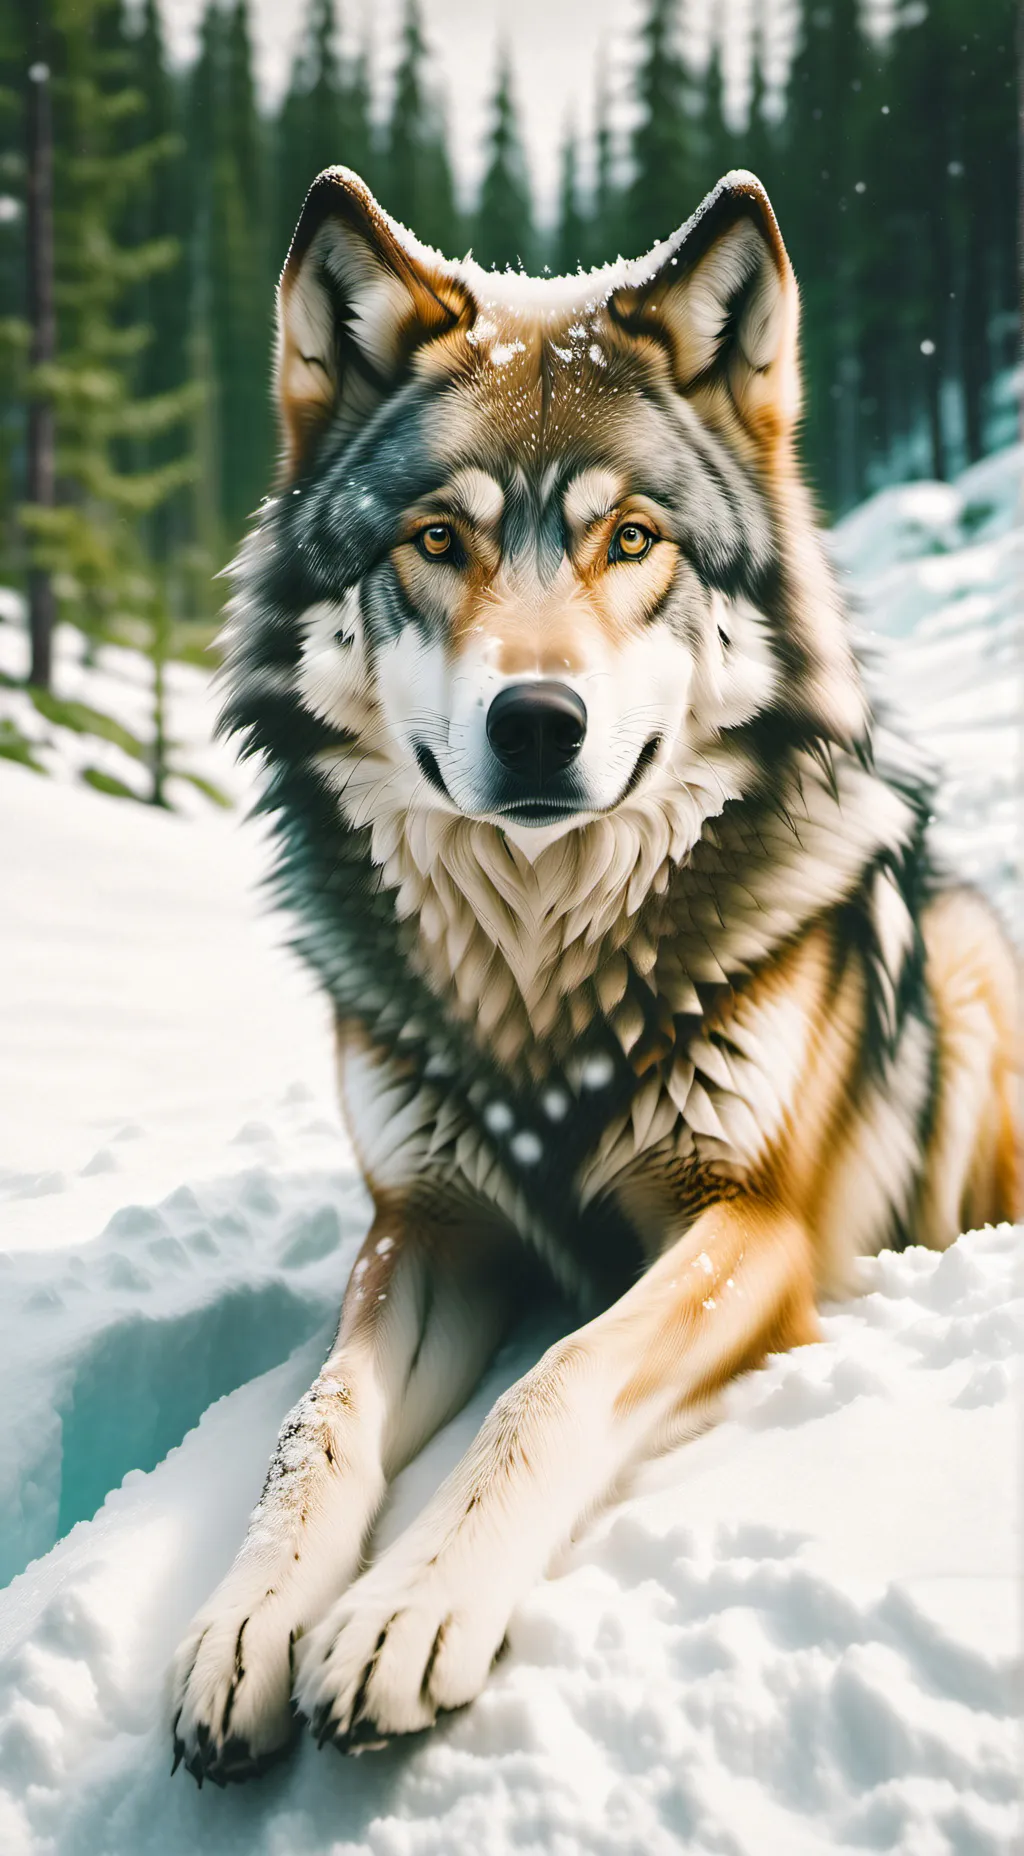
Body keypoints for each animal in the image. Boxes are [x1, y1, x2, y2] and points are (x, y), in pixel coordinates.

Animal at [170, 168, 1020, 1783]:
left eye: (631, 541)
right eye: (437, 541)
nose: (537, 722)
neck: (540, 975)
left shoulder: (750, 1226)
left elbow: (550, 1383)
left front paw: (409, 1607)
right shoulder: (426, 1223)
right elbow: (316, 1428)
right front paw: (245, 1621)